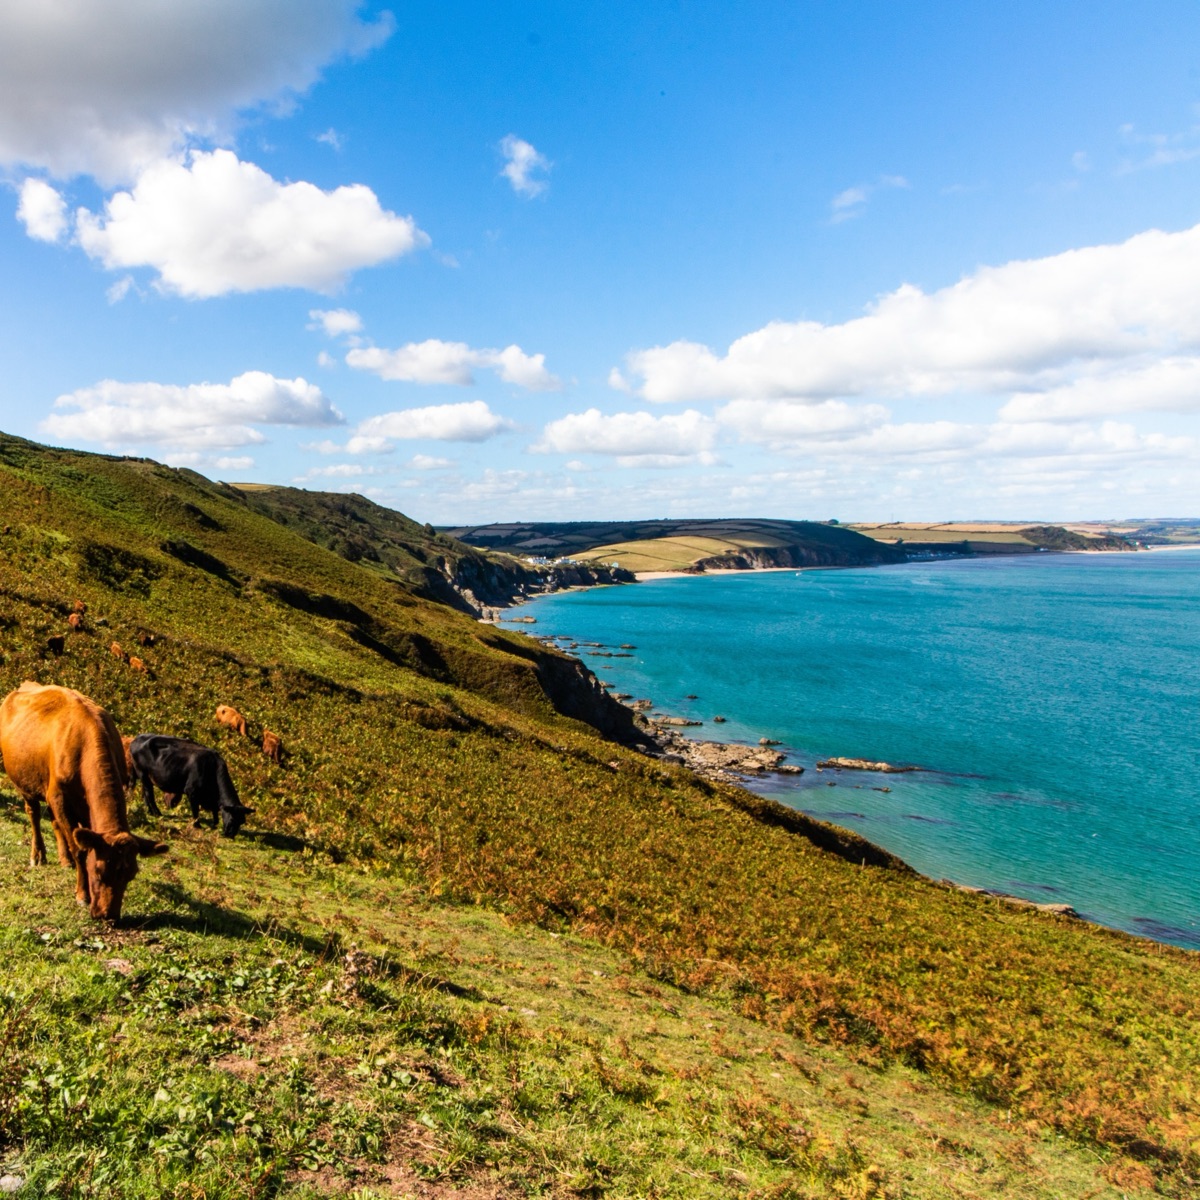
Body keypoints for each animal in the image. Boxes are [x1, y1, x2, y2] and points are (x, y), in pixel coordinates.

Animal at [0, 682, 167, 920]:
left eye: (131, 875)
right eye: (98, 870)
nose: (108, 915)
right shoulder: (60, 798)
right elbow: (79, 849)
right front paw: (82, 894)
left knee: (54, 822)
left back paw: (64, 859)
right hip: (25, 784)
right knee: (34, 815)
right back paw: (38, 855)